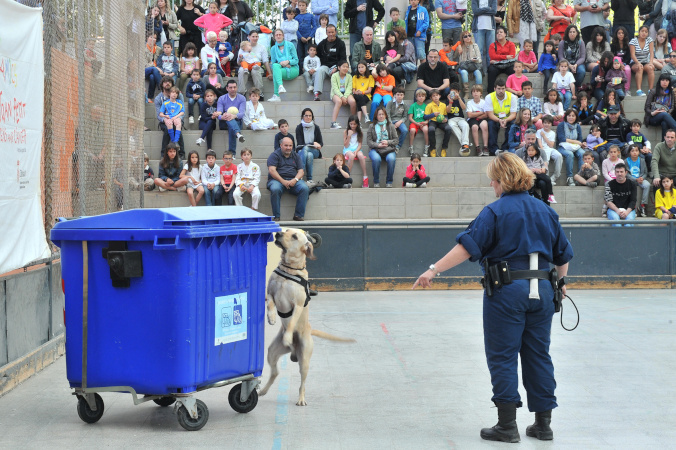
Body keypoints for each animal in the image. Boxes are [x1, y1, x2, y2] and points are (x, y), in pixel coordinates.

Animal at [258, 227, 354, 406]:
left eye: (295, 236)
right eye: (286, 230)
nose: (278, 234)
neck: (289, 268)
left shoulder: (297, 305)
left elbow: (291, 323)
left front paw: (287, 336)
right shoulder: (270, 293)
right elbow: (270, 305)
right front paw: (271, 317)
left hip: (305, 361)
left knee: (302, 383)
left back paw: (301, 398)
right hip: (272, 352)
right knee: (275, 373)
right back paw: (263, 390)